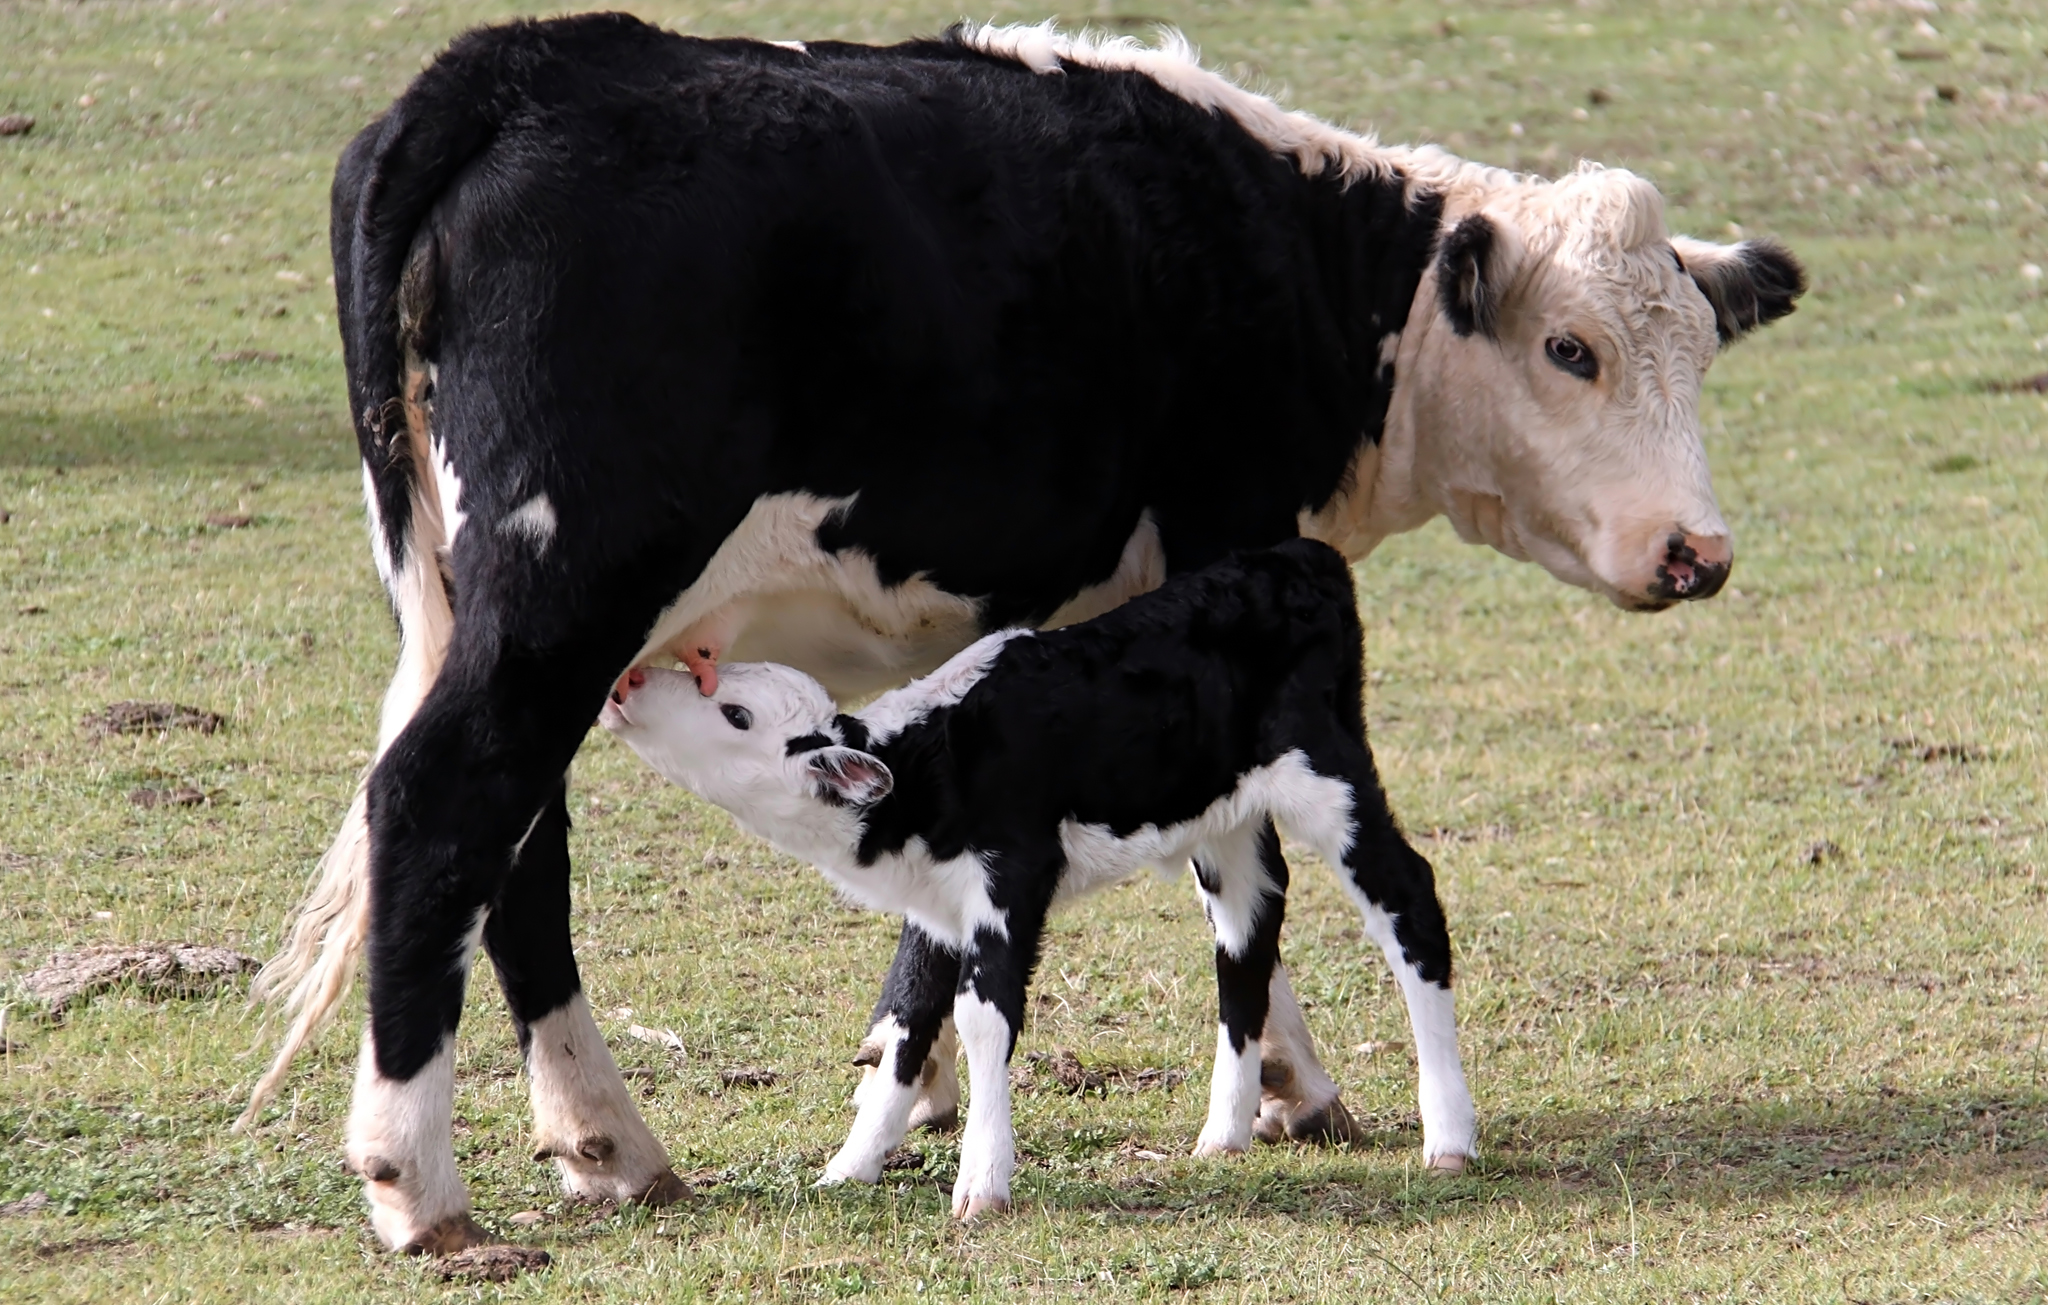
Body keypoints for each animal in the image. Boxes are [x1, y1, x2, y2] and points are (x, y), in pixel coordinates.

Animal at [598, 532, 1466, 1212]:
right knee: (1247, 933)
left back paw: (1450, 1132)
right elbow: (908, 1023)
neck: (928, 768)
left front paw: (982, 1182)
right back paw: (1223, 1133)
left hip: (1329, 775)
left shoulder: (1009, 881)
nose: (628, 680)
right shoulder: (938, 905)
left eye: (736, 714)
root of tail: (1301, 556)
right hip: (1226, 824)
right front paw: (850, 1166)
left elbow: (982, 1017)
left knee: (1409, 898)